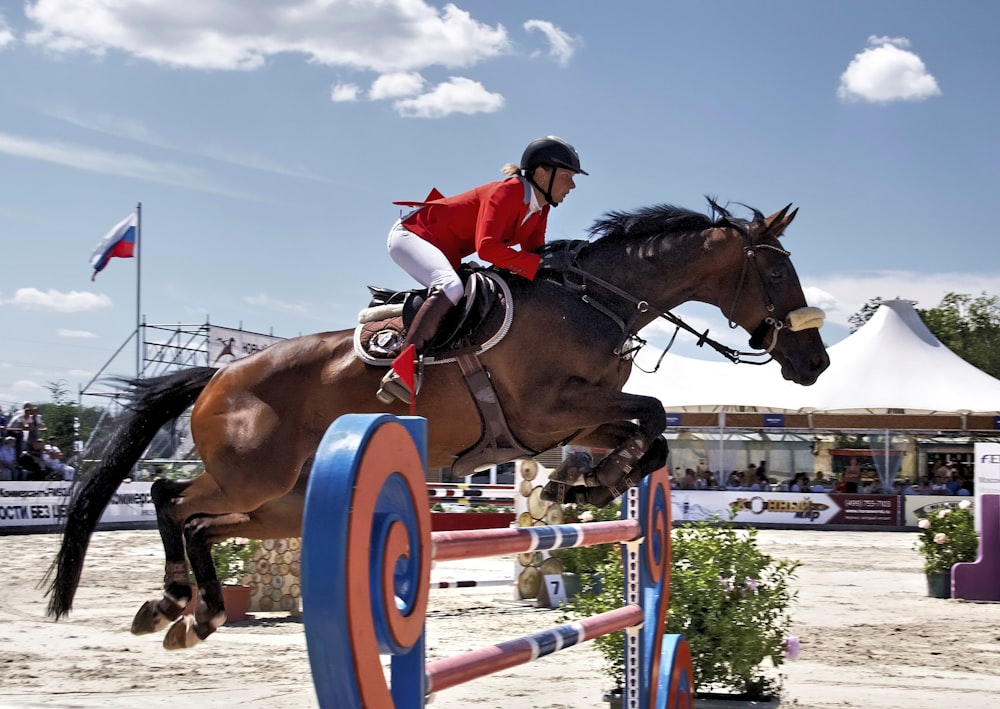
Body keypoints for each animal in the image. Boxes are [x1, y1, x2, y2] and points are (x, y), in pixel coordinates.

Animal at [45, 198, 828, 648]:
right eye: (778, 272)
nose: (814, 363)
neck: (591, 301)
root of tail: (217, 375)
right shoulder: (549, 410)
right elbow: (653, 415)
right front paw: (580, 487)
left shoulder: (574, 420)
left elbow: (653, 436)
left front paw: (579, 489)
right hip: (251, 474)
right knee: (170, 499)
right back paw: (176, 599)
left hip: (281, 502)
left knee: (204, 524)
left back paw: (193, 612)